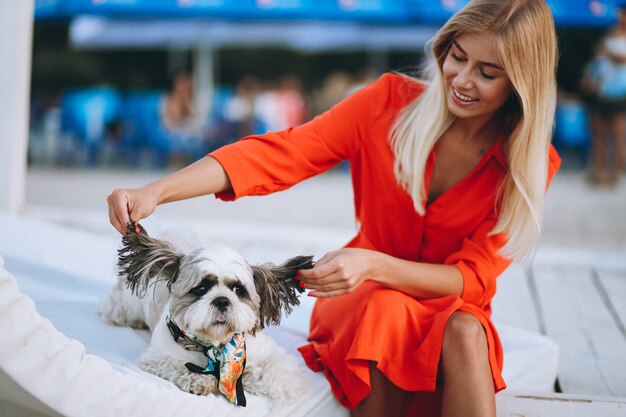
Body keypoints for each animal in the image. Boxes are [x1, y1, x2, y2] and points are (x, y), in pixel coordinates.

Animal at [99, 223, 312, 404]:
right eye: (201, 288)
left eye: (238, 290)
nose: (222, 300)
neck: (216, 346)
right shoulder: (155, 358)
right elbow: (176, 365)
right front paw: (200, 379)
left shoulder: (270, 353)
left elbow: (278, 370)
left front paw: (262, 379)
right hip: (125, 306)